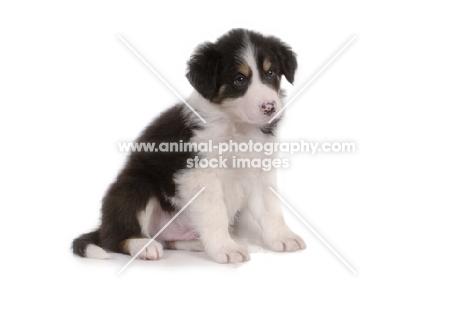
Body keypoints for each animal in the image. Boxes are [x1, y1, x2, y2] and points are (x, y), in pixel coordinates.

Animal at [72, 27, 306, 262]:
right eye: (239, 79)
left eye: (271, 73)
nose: (270, 106)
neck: (237, 125)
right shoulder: (199, 174)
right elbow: (215, 213)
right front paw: (226, 248)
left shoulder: (259, 170)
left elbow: (270, 207)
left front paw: (283, 237)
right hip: (135, 186)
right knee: (116, 237)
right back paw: (143, 245)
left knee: (169, 240)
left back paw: (196, 243)